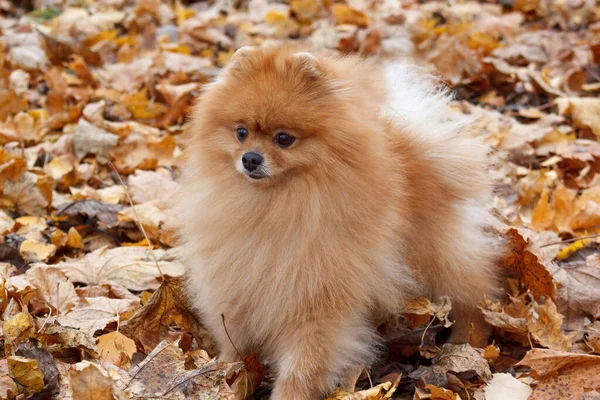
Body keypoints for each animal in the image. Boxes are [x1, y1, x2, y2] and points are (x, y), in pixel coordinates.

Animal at [173, 44, 502, 400]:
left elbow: (303, 365)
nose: (250, 158)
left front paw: (288, 395)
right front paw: (221, 373)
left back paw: (468, 339)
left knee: (472, 294)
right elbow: (235, 343)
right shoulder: (237, 285)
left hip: (439, 258)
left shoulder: (318, 300)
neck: (275, 206)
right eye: (241, 132)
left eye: (284, 139)